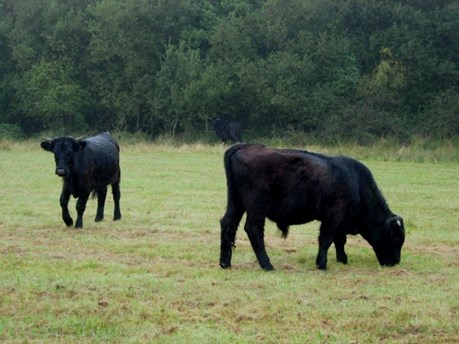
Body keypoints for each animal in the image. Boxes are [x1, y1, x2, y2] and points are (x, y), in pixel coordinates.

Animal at [221, 143, 404, 272]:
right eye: (395, 237)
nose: (395, 262)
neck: (356, 184)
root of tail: (243, 146)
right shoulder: (332, 218)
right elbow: (326, 240)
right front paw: (321, 264)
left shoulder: (339, 222)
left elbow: (339, 240)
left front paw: (342, 259)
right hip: (256, 207)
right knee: (253, 230)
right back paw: (267, 265)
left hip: (237, 204)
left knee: (228, 225)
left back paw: (225, 263)